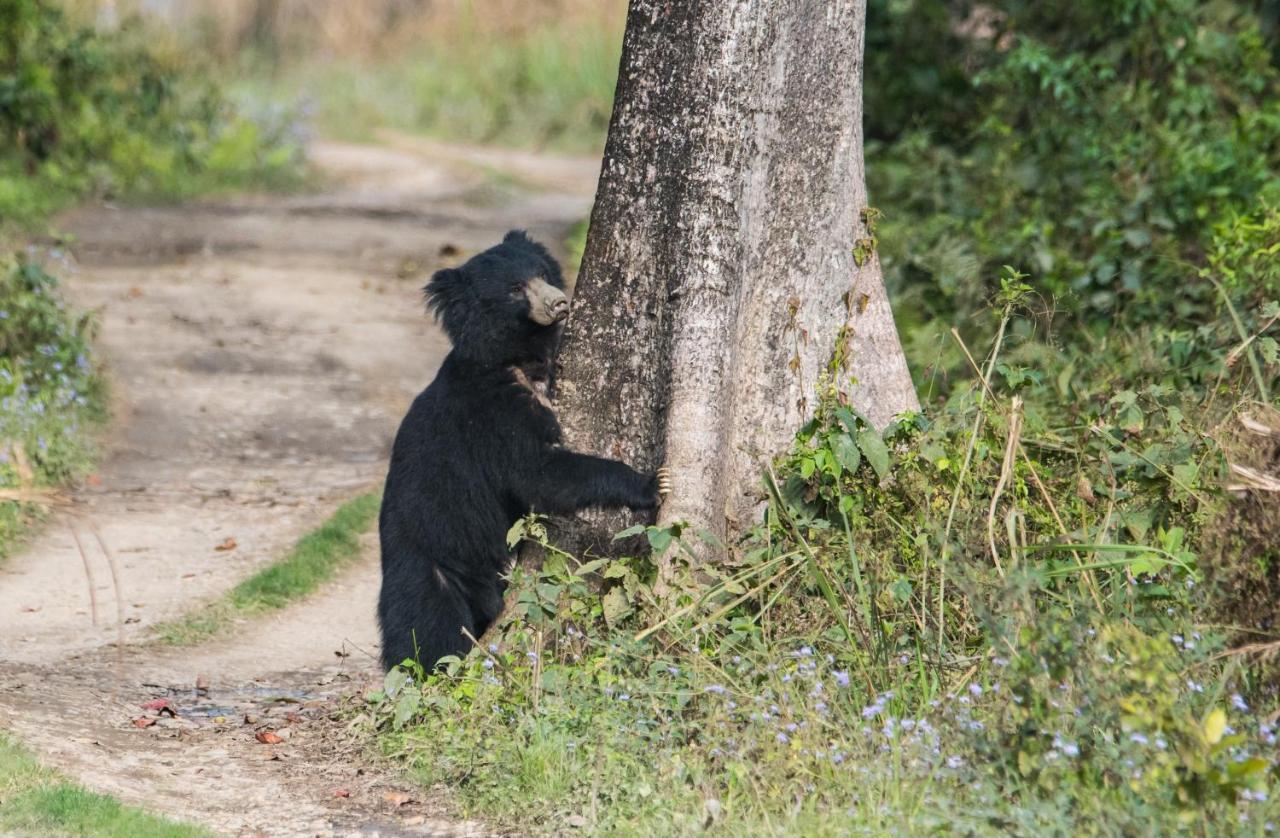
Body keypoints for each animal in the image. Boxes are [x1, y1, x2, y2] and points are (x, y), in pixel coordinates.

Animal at [373, 231, 670, 675]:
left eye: (542, 273)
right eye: (515, 289)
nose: (559, 302)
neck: (515, 357)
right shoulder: (493, 411)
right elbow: (538, 471)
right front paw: (653, 482)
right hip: (428, 568)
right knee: (428, 633)